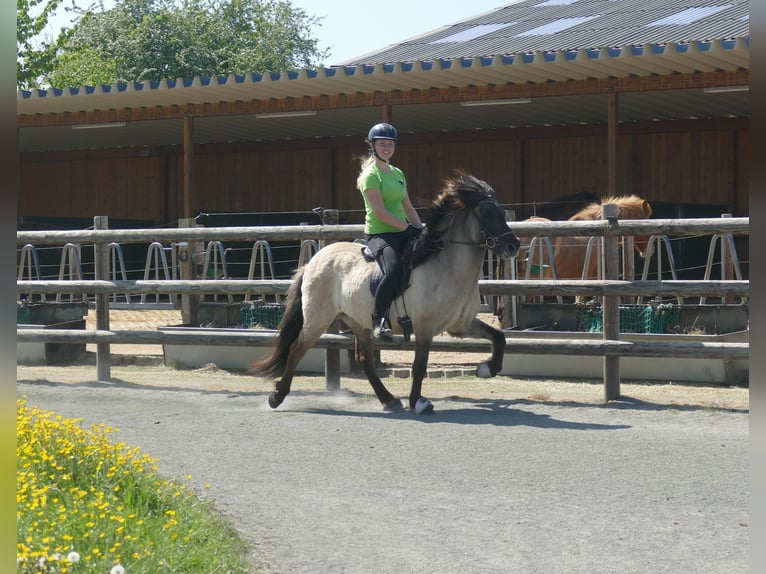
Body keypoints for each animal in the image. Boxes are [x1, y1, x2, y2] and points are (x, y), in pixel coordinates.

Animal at [251, 172, 521, 414]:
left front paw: (487, 369)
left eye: (500, 211)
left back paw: (389, 400)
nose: (513, 245)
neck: (447, 268)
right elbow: (419, 366)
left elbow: (499, 337)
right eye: (485, 213)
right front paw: (418, 403)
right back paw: (276, 397)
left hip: (358, 321)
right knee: (297, 349)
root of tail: (313, 261)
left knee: (363, 359)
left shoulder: (460, 325)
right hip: (318, 318)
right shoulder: (424, 327)